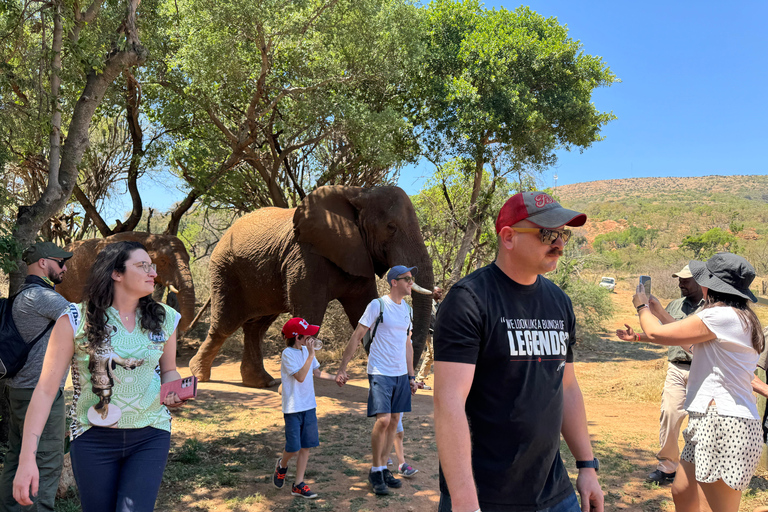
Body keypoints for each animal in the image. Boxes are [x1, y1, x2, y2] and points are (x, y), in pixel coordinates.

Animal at [189, 186, 436, 386]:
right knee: (225, 324)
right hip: (225, 269)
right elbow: (310, 314)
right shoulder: (306, 257)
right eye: (391, 227)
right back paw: (199, 374)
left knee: (256, 327)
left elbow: (363, 311)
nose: (413, 384)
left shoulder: (358, 256)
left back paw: (261, 382)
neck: (359, 193)